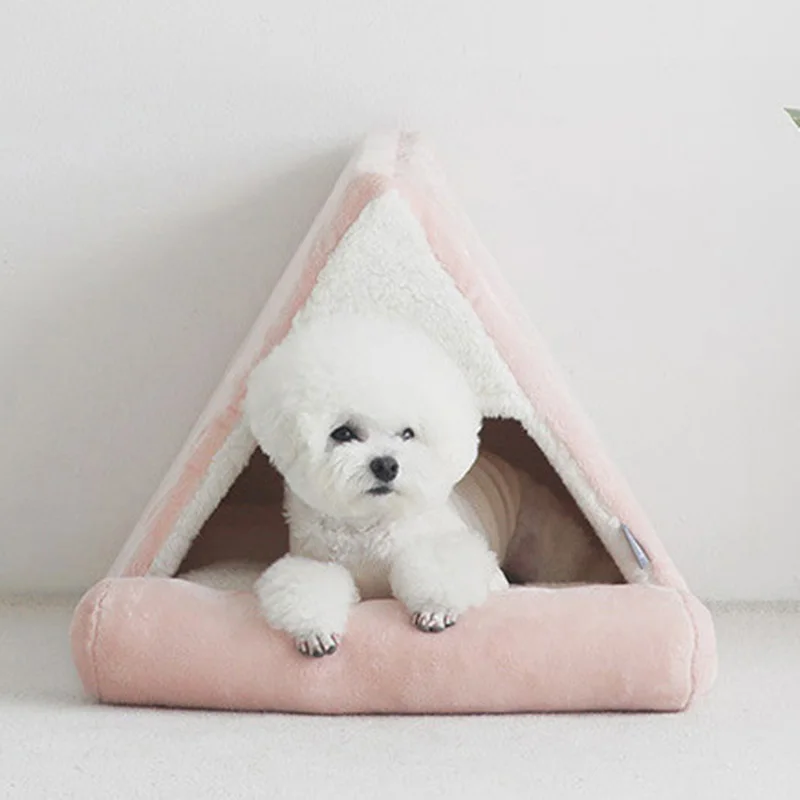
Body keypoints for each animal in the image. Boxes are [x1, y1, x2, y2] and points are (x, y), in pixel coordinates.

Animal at [245, 314, 617, 657]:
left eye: (408, 433)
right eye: (343, 433)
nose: (386, 464)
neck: (368, 526)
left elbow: (443, 569)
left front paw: (436, 609)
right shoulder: (312, 560)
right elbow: (307, 585)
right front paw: (314, 631)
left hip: (541, 539)